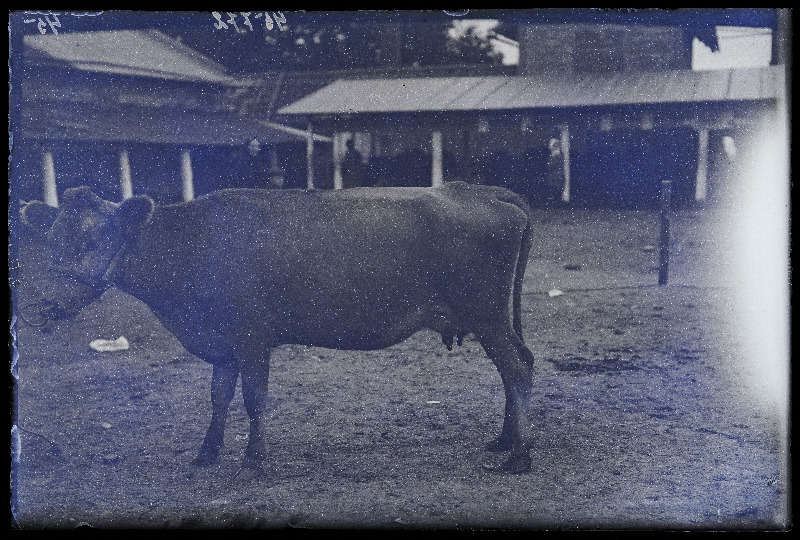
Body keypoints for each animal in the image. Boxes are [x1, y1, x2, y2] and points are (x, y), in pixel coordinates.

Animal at [21, 184, 536, 478]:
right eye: (51, 241)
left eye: (93, 239)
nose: (42, 307)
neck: (192, 245)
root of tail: (482, 191)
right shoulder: (224, 343)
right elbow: (218, 396)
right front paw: (207, 452)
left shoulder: (252, 338)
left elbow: (253, 399)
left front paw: (253, 462)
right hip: (494, 318)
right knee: (519, 366)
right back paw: (506, 440)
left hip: (487, 314)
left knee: (516, 369)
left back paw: (520, 457)